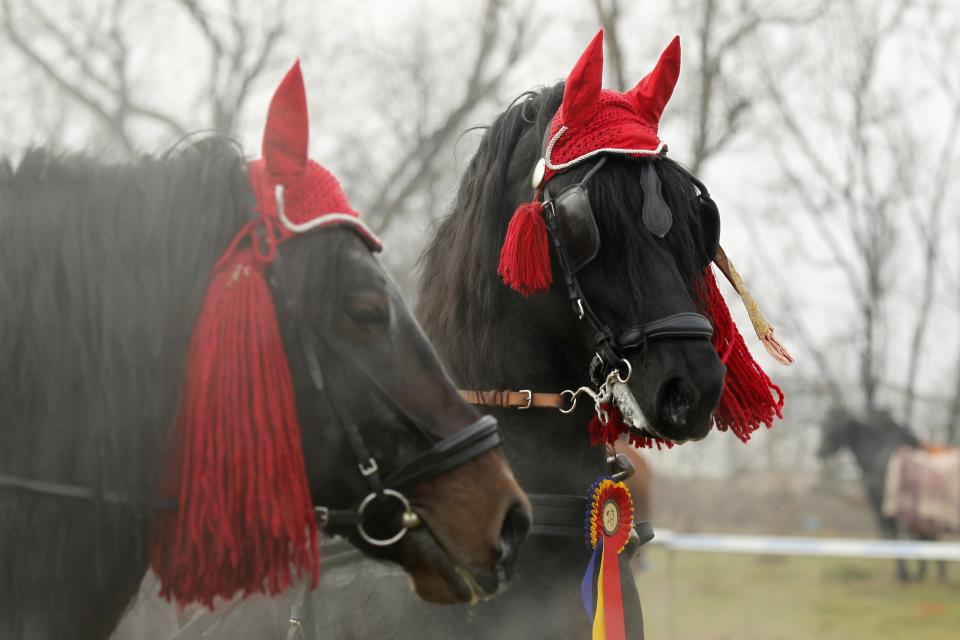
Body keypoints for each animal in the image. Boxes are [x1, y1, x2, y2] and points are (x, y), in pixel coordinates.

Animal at [816, 408, 952, 584]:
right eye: (823, 423)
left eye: (835, 424)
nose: (819, 452)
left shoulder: (884, 508)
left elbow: (894, 536)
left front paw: (903, 574)